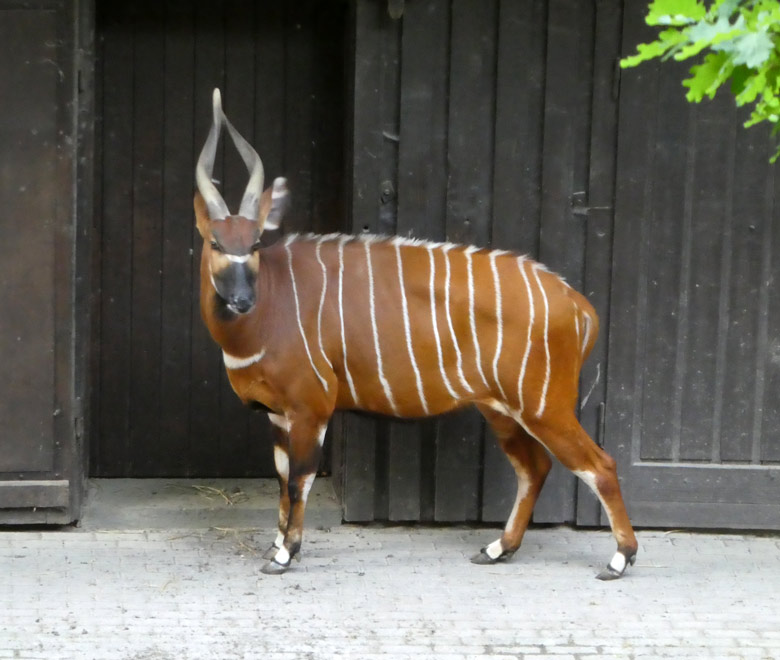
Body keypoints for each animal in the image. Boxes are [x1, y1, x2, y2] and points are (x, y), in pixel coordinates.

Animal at [192, 89, 636, 576]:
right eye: (216, 242)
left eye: (253, 243)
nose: (241, 300)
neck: (269, 305)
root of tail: (578, 304)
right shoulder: (277, 414)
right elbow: (281, 478)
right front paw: (276, 544)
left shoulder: (311, 407)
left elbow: (300, 481)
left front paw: (286, 553)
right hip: (501, 408)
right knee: (534, 467)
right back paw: (498, 548)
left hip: (544, 406)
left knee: (600, 464)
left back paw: (620, 558)